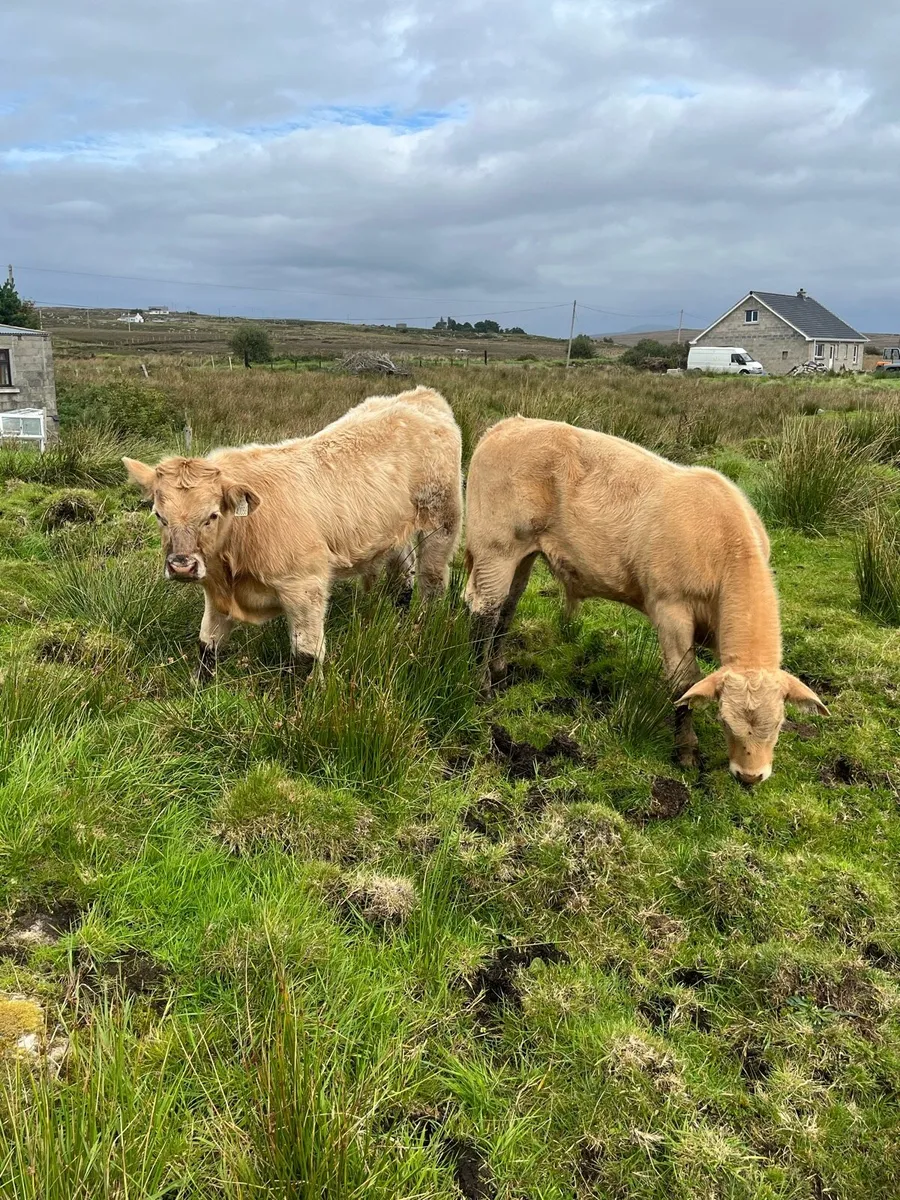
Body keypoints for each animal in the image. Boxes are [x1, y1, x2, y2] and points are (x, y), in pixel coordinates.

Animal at [123, 385, 462, 679]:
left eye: (212, 515)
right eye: (159, 515)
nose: (182, 565)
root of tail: (420, 396)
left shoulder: (306, 587)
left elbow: (306, 658)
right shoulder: (216, 592)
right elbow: (208, 645)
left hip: (442, 523)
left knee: (432, 582)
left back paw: (423, 629)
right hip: (394, 531)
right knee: (403, 572)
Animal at [463, 416, 827, 785]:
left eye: (780, 724)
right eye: (725, 721)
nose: (750, 776)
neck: (726, 547)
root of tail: (510, 425)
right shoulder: (671, 610)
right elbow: (684, 682)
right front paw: (686, 750)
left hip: (523, 553)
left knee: (507, 608)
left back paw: (498, 669)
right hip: (496, 548)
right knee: (486, 610)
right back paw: (481, 688)